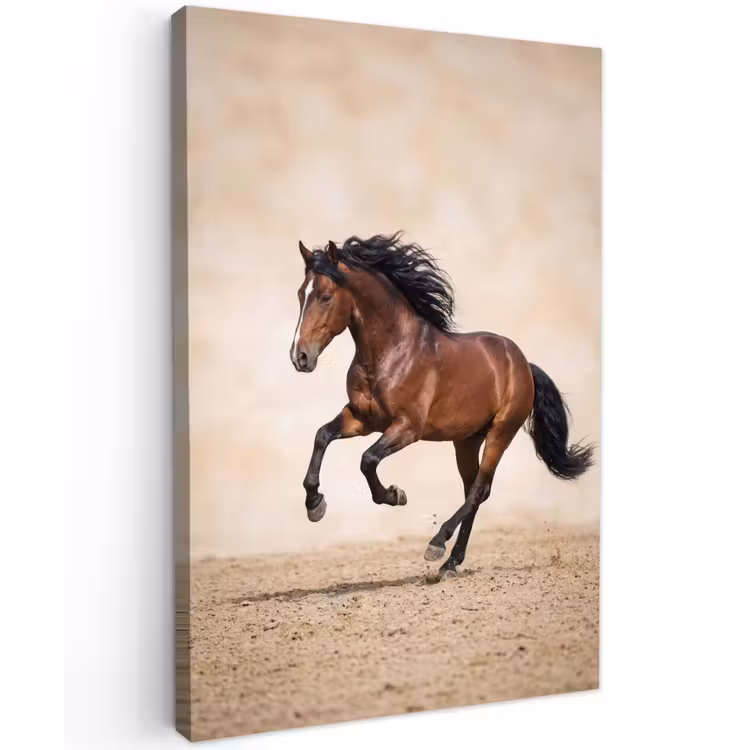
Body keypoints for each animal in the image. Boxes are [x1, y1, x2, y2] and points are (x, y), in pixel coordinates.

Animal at [290, 232, 595, 576]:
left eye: (325, 297)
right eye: (301, 294)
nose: (300, 357)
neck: (392, 352)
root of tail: (523, 364)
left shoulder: (407, 428)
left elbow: (367, 460)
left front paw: (395, 495)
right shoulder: (361, 419)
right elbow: (322, 436)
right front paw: (315, 505)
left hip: (501, 432)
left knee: (479, 490)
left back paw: (437, 545)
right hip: (467, 440)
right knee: (474, 490)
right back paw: (451, 561)